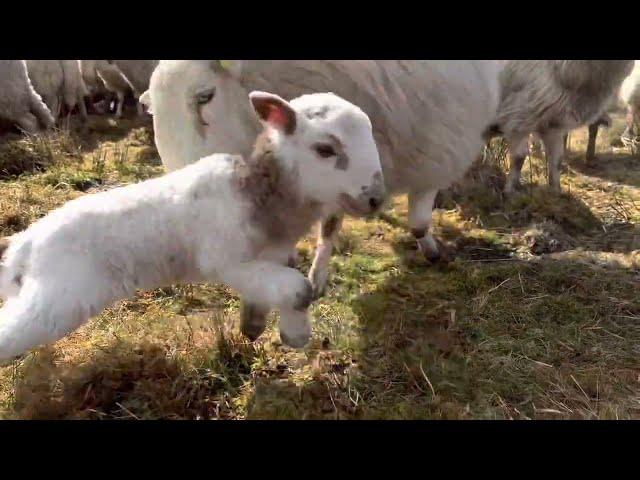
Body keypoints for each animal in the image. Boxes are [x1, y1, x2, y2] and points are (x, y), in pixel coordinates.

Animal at [490, 60, 636, 193]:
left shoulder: (552, 124)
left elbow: (556, 160)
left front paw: (556, 190)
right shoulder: (519, 116)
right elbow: (519, 157)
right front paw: (510, 191)